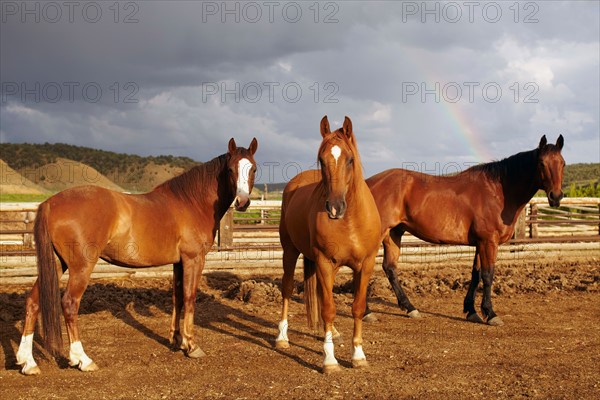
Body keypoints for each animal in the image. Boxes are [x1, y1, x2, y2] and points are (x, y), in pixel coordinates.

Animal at [17, 138, 258, 376]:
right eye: (230, 169)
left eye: (253, 168)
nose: (242, 201)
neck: (192, 202)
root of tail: (50, 203)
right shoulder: (193, 259)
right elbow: (190, 298)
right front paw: (191, 345)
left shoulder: (178, 263)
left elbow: (177, 298)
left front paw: (176, 340)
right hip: (81, 267)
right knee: (69, 303)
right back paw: (83, 359)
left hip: (57, 264)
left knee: (33, 302)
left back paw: (28, 362)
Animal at [276, 117, 380, 374]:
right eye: (322, 160)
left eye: (350, 159)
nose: (334, 207)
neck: (350, 220)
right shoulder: (324, 261)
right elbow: (329, 309)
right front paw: (330, 360)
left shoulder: (365, 265)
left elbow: (357, 307)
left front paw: (358, 355)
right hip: (290, 253)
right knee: (287, 289)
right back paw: (282, 338)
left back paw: (333, 332)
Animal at [364, 134, 564, 324]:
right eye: (541, 163)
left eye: (562, 163)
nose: (556, 196)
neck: (498, 191)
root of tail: (368, 183)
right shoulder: (489, 242)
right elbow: (488, 275)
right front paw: (491, 313)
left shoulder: (480, 243)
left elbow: (476, 274)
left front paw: (472, 311)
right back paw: (367, 312)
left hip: (394, 233)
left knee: (390, 267)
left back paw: (410, 308)